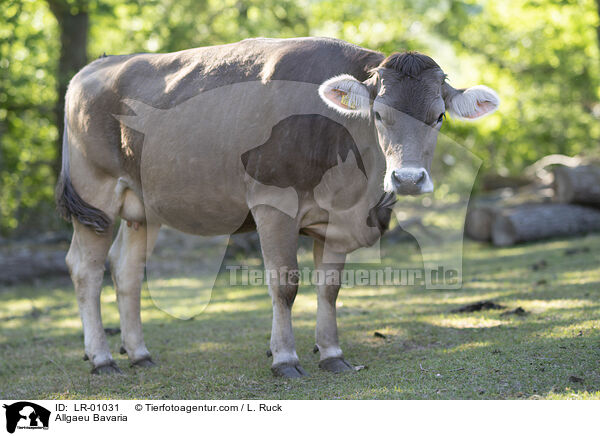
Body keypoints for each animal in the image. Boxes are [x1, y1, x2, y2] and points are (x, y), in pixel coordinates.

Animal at [56, 36, 496, 378]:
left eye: (438, 117)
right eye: (378, 114)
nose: (407, 178)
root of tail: (95, 67)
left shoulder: (335, 222)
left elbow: (329, 288)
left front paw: (332, 354)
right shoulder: (272, 204)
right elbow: (285, 284)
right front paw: (285, 358)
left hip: (142, 208)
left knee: (126, 270)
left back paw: (139, 354)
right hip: (95, 193)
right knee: (85, 269)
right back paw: (102, 358)